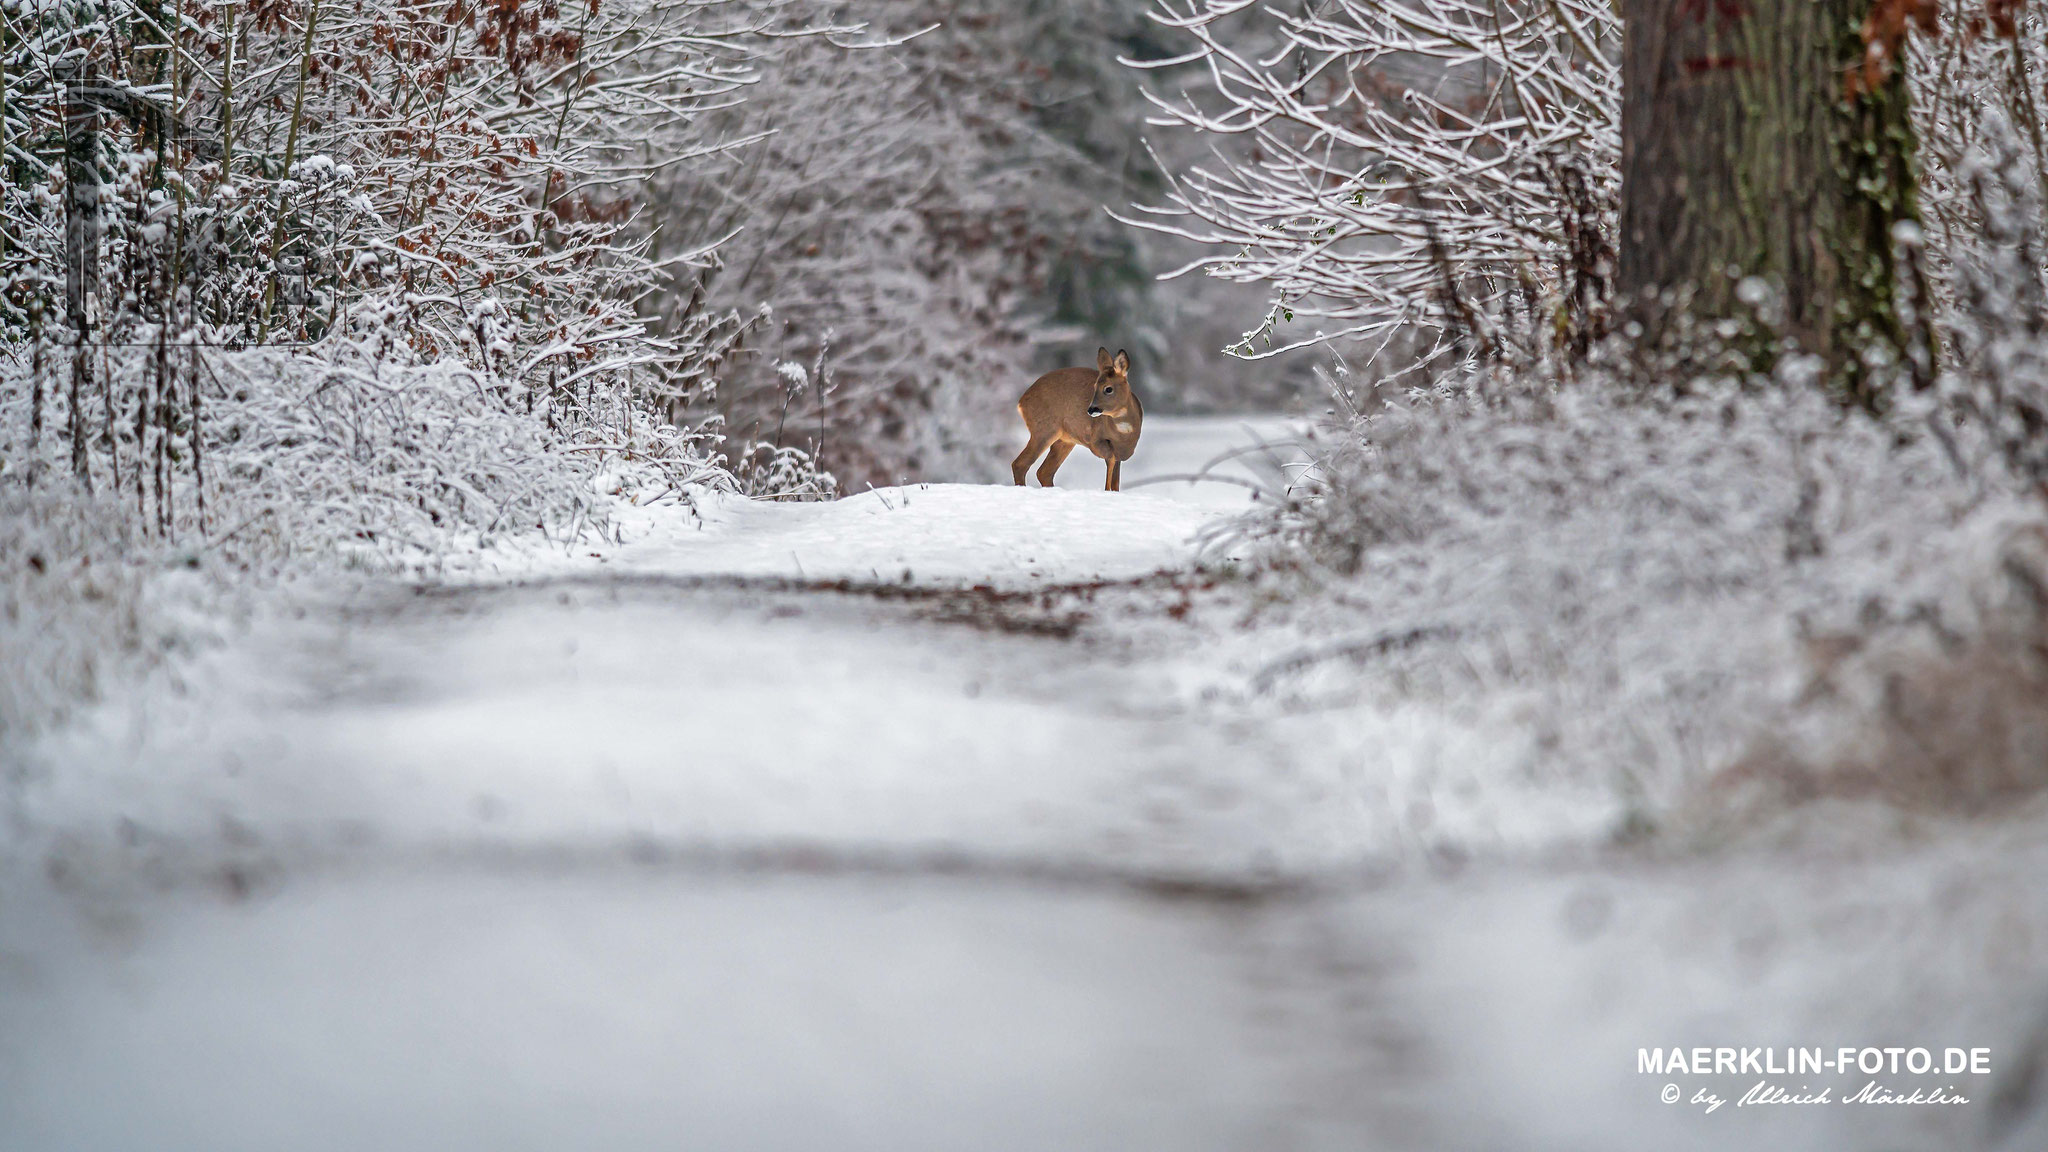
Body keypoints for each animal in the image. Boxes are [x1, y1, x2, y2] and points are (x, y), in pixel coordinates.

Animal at [1015, 344, 1146, 487]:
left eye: (1108, 389)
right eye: (1094, 386)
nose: (1091, 409)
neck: (1124, 432)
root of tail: (1021, 402)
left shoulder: (1121, 451)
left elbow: (1116, 482)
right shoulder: (1096, 440)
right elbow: (1110, 462)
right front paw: (1106, 489)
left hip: (1064, 440)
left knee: (1044, 472)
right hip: (1044, 430)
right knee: (1020, 464)